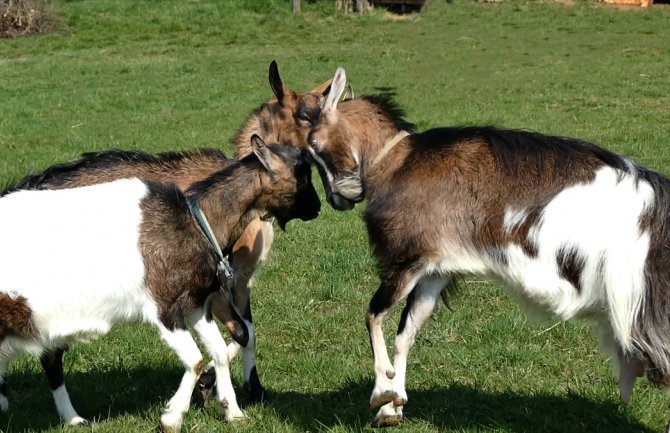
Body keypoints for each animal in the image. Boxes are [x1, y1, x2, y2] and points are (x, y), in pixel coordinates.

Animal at [312, 66, 670, 426]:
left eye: (313, 144)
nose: (337, 199)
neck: (397, 161)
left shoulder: (403, 260)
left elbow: (373, 315)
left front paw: (381, 395)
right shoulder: (433, 269)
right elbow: (406, 332)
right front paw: (392, 405)